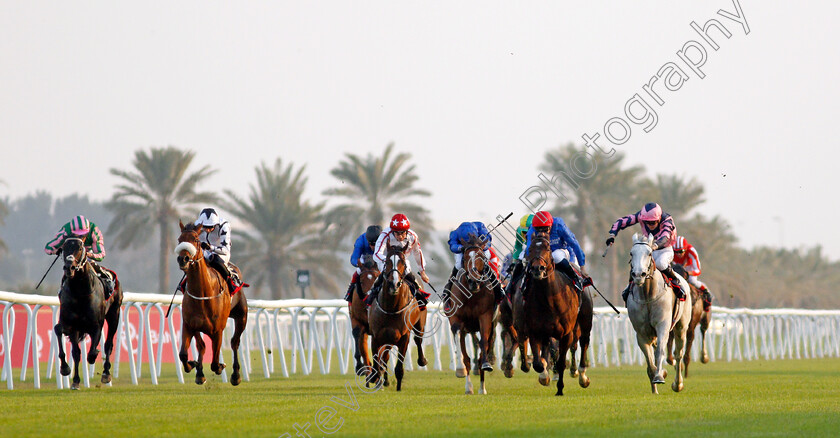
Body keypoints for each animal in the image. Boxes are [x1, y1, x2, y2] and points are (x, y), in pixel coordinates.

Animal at [53, 238, 123, 388]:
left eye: (80, 248)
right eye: (64, 247)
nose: (69, 267)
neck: (80, 292)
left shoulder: (96, 325)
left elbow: (91, 353)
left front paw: (95, 354)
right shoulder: (71, 325)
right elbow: (73, 349)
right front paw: (68, 372)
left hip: (114, 315)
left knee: (108, 344)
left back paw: (106, 373)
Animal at [173, 221, 246, 384]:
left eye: (196, 240)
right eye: (179, 240)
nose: (183, 259)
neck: (203, 293)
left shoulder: (217, 330)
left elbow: (214, 363)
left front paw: (220, 366)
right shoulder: (189, 325)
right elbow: (184, 354)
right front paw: (194, 365)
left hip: (241, 316)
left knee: (234, 342)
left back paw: (236, 375)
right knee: (201, 346)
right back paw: (200, 373)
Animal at [370, 245, 430, 392]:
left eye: (402, 261)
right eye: (387, 261)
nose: (394, 284)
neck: (391, 308)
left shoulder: (404, 337)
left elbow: (399, 366)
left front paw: (398, 387)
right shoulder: (376, 336)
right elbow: (377, 361)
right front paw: (376, 378)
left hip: (420, 323)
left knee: (418, 339)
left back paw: (422, 360)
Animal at [446, 238, 498, 396]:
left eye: (482, 257)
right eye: (465, 257)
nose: (474, 282)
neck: (471, 295)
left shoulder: (485, 316)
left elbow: (484, 343)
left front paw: (486, 364)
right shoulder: (456, 318)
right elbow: (457, 336)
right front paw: (460, 370)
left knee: (484, 346)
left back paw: (482, 388)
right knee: (467, 357)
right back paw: (469, 386)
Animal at [516, 234, 580, 396]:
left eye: (548, 248)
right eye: (530, 249)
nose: (537, 268)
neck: (550, 301)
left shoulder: (566, 334)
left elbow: (561, 361)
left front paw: (560, 388)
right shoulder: (535, 331)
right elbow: (539, 363)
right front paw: (544, 376)